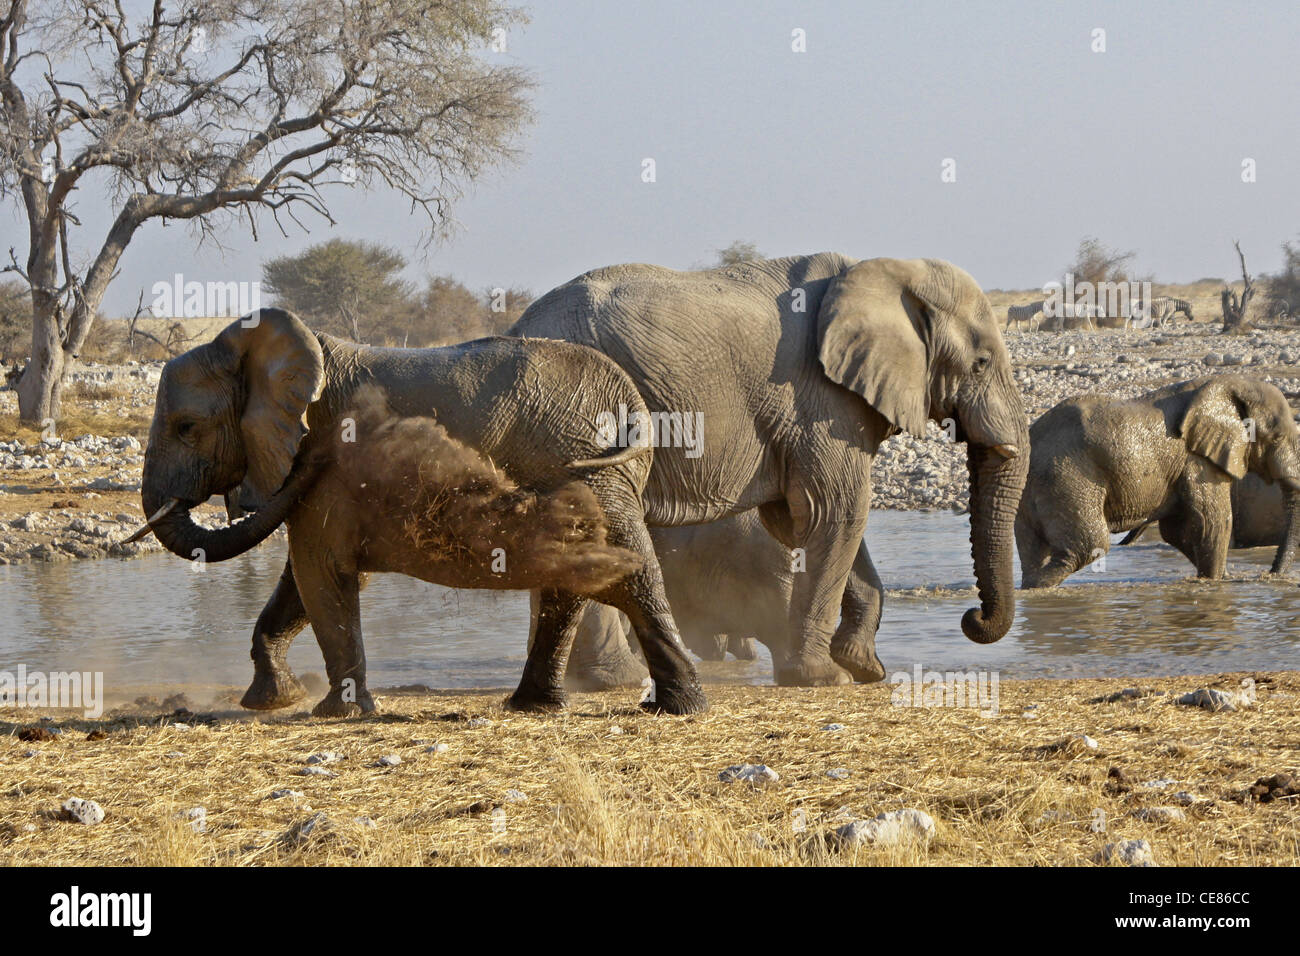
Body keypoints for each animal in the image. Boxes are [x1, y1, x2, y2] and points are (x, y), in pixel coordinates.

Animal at [129, 310, 712, 723]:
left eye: (186, 427)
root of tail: (632, 400)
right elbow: (303, 578)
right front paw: (271, 701)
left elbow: (321, 571)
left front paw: (333, 713)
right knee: (579, 573)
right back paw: (537, 706)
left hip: (588, 468)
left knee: (627, 573)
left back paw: (675, 708)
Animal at [506, 254, 1024, 686]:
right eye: (980, 363)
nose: (971, 619)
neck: (884, 272)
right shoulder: (819, 402)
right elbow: (835, 513)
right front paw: (826, 678)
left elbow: (803, 521)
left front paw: (864, 668)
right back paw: (620, 679)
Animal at [1013, 371, 1300, 582]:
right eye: (1276, 438)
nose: (1269, 576)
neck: (1226, 383)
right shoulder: (1197, 460)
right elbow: (1213, 521)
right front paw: (1217, 583)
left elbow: (1178, 530)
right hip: (1066, 478)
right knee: (1087, 546)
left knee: (1034, 552)